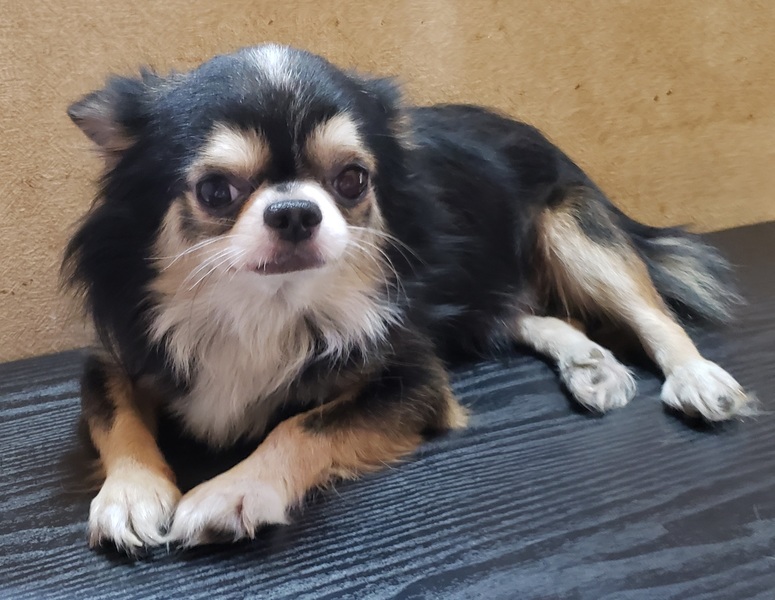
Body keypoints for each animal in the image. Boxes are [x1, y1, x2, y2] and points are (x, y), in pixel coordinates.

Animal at [63, 44, 754, 551]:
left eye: (352, 179)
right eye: (214, 191)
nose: (295, 211)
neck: (262, 307)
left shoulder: (412, 379)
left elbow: (302, 424)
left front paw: (231, 489)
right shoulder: (118, 353)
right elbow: (115, 415)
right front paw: (131, 494)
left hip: (573, 232)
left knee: (651, 312)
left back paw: (696, 377)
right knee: (528, 314)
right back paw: (590, 363)